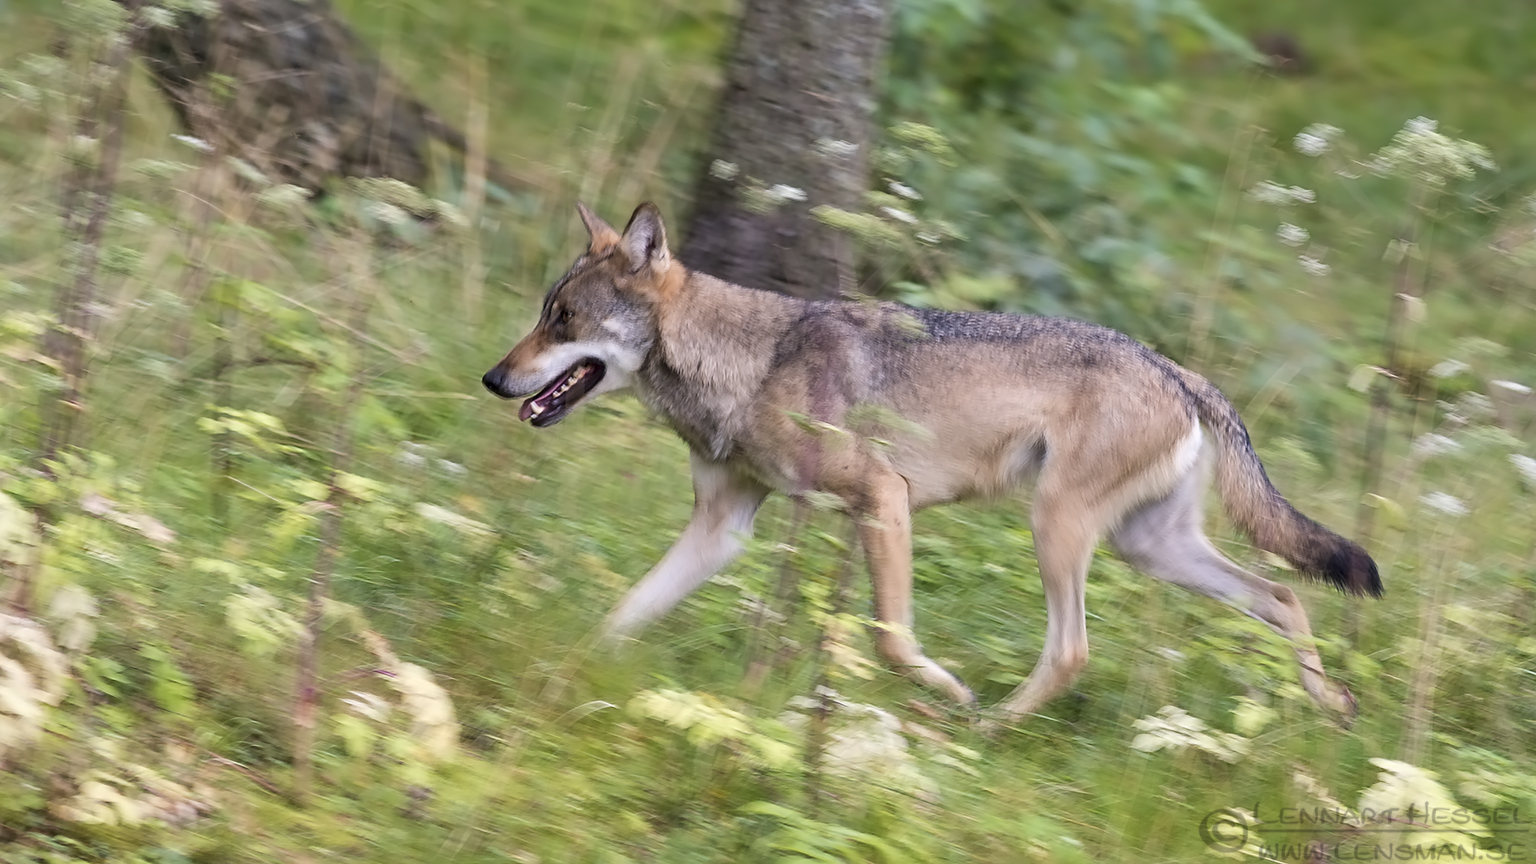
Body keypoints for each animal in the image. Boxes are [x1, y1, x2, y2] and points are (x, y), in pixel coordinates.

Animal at [482, 202, 1382, 725]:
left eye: (562, 320)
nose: (492, 379)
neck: (751, 363)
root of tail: (1179, 370)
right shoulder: (723, 527)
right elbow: (624, 611)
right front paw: (568, 670)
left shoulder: (883, 498)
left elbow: (890, 640)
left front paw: (946, 689)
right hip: (1150, 549)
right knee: (1284, 598)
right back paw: (1331, 705)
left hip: (1057, 528)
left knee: (1074, 652)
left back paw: (985, 726)